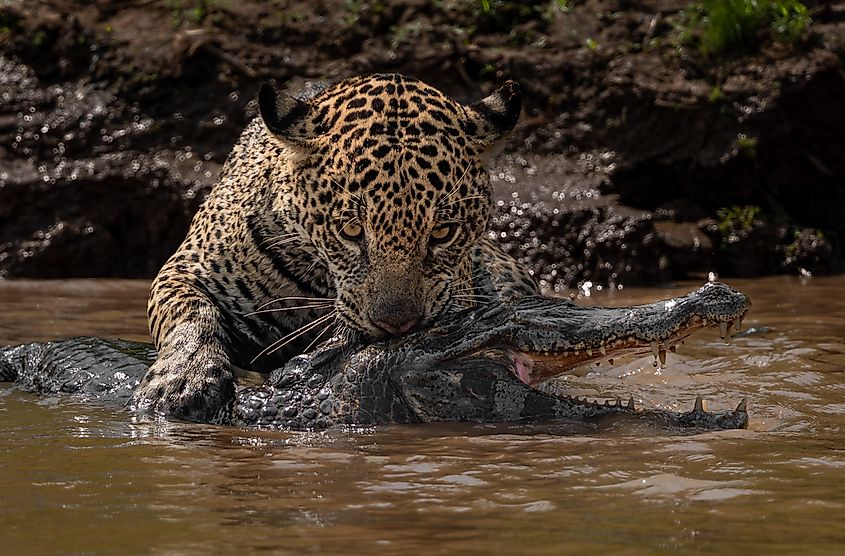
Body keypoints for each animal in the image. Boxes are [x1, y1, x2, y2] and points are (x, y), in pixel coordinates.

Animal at [133, 73, 538, 422]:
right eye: (352, 230)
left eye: (441, 233)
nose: (397, 326)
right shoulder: (187, 269)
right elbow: (191, 313)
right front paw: (183, 381)